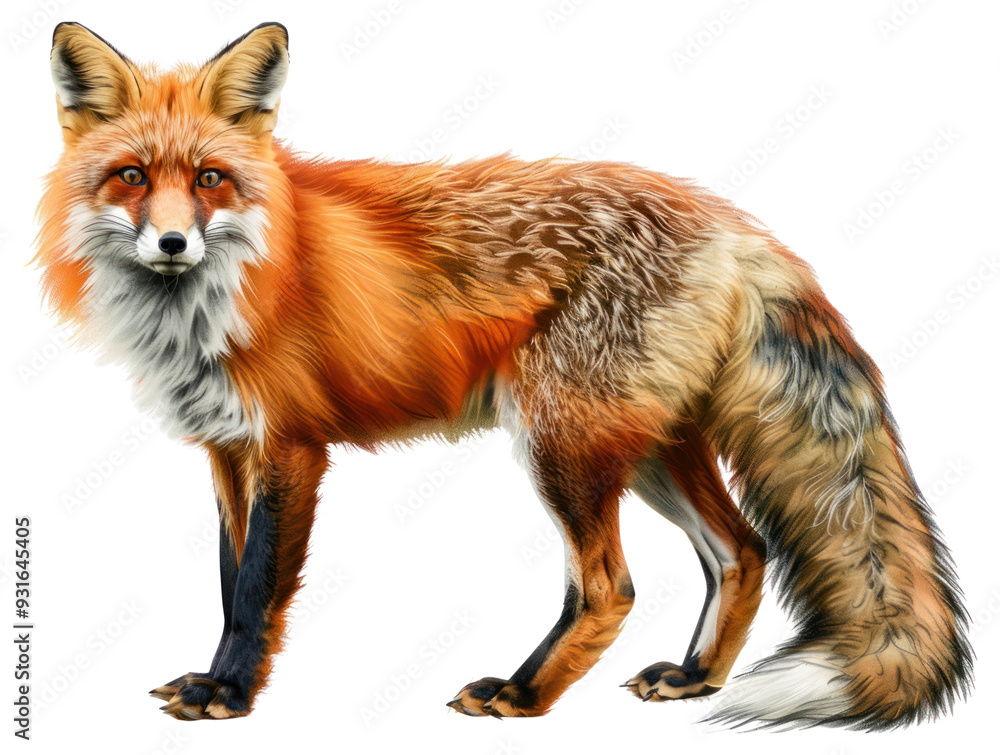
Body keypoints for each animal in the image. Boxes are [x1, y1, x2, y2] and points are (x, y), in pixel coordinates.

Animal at [34, 21, 972, 728]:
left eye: (209, 178)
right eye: (131, 177)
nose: (171, 243)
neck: (220, 295)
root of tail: (735, 225)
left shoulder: (290, 447)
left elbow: (258, 588)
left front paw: (228, 692)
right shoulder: (230, 448)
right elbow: (231, 582)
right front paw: (220, 678)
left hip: (562, 442)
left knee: (609, 586)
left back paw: (523, 693)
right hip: (647, 447)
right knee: (743, 551)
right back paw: (693, 677)